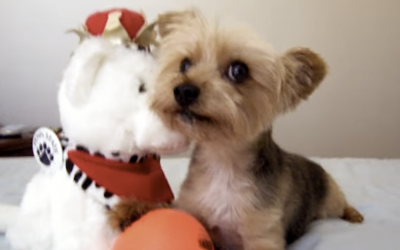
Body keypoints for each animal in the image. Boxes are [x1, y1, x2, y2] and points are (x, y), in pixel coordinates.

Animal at [111, 8, 362, 250]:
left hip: (329, 196)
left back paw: (353, 214)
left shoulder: (262, 234)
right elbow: (170, 208)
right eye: (184, 64)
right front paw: (133, 209)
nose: (183, 90)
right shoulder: (191, 207)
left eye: (239, 71)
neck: (222, 162)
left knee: (340, 203)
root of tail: (310, 161)